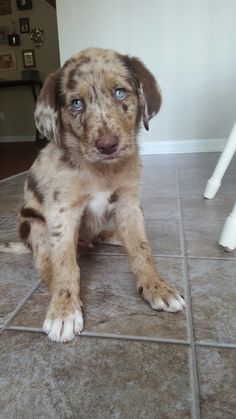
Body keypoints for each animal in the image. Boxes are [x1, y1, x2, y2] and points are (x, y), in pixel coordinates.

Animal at [0, 49, 184, 342]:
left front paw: (157, 287)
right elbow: (65, 264)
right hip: (35, 225)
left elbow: (141, 249)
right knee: (45, 264)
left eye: (120, 93)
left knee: (100, 236)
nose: (107, 146)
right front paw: (64, 310)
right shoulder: (63, 211)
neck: (101, 169)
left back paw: (111, 237)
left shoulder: (129, 203)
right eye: (76, 103)